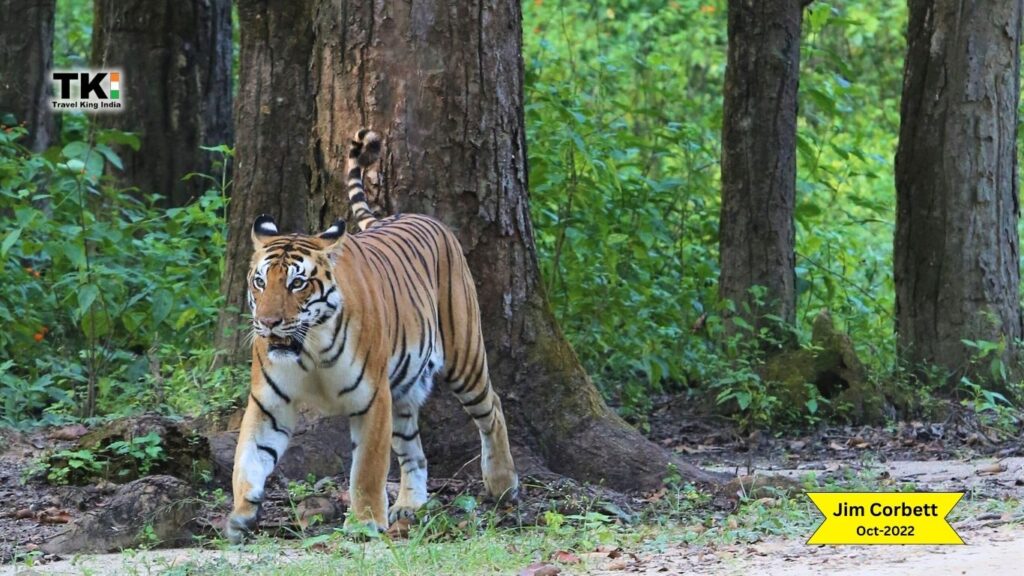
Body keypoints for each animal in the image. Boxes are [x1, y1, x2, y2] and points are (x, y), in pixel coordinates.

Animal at [230, 127, 520, 541]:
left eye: (297, 283)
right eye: (259, 282)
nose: (268, 322)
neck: (309, 350)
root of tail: (409, 214)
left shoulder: (372, 398)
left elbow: (368, 467)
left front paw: (364, 521)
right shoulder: (269, 402)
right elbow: (248, 457)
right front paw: (240, 512)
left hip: (464, 356)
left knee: (492, 408)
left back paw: (503, 484)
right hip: (404, 387)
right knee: (414, 449)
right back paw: (410, 505)